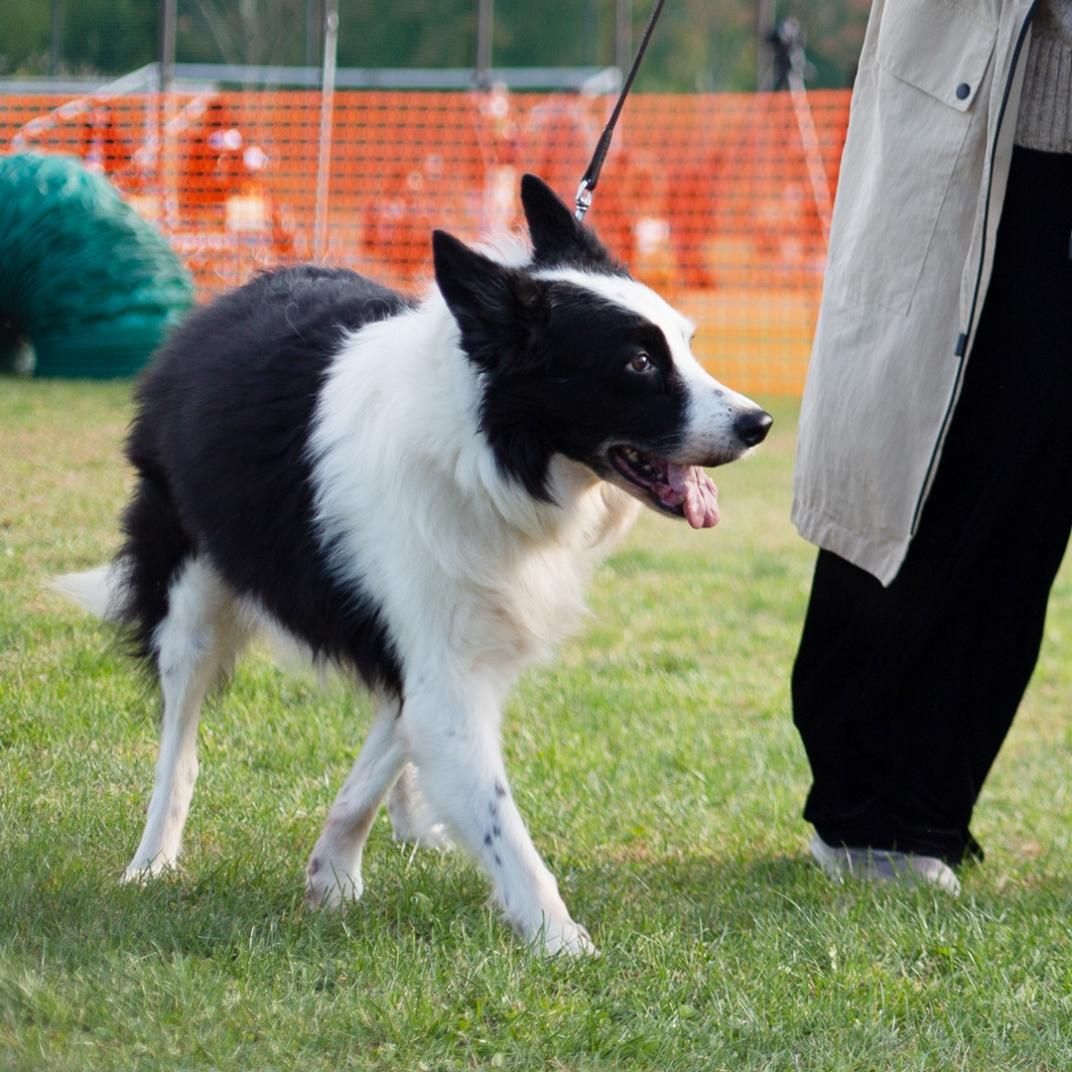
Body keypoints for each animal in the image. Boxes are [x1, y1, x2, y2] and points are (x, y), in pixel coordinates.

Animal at [56, 175, 771, 956]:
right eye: (638, 364)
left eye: (686, 344)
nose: (759, 424)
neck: (484, 451)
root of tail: (219, 305)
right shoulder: (442, 659)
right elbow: (497, 818)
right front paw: (560, 940)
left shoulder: (450, 641)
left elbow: (388, 752)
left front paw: (333, 868)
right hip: (191, 602)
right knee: (179, 743)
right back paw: (151, 861)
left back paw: (404, 825)